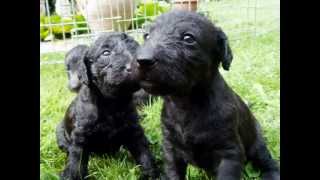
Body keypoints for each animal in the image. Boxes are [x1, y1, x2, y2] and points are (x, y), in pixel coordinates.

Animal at [57, 32, 159, 180]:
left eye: (135, 49)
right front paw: (71, 175)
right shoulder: (80, 137)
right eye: (106, 53)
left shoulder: (134, 131)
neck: (112, 103)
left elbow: (144, 154)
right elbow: (77, 162)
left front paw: (152, 175)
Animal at [136, 10, 278, 180]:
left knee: (267, 161)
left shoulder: (230, 153)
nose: (142, 60)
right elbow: (173, 172)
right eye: (146, 36)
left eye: (188, 38)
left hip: (256, 142)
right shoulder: (170, 149)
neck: (186, 104)